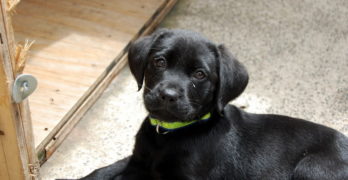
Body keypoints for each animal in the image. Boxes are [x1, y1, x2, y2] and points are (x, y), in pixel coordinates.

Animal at [82, 28, 348, 179]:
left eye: (200, 74)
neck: (169, 135)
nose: (168, 94)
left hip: (311, 167)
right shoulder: (139, 160)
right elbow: (106, 170)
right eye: (159, 62)